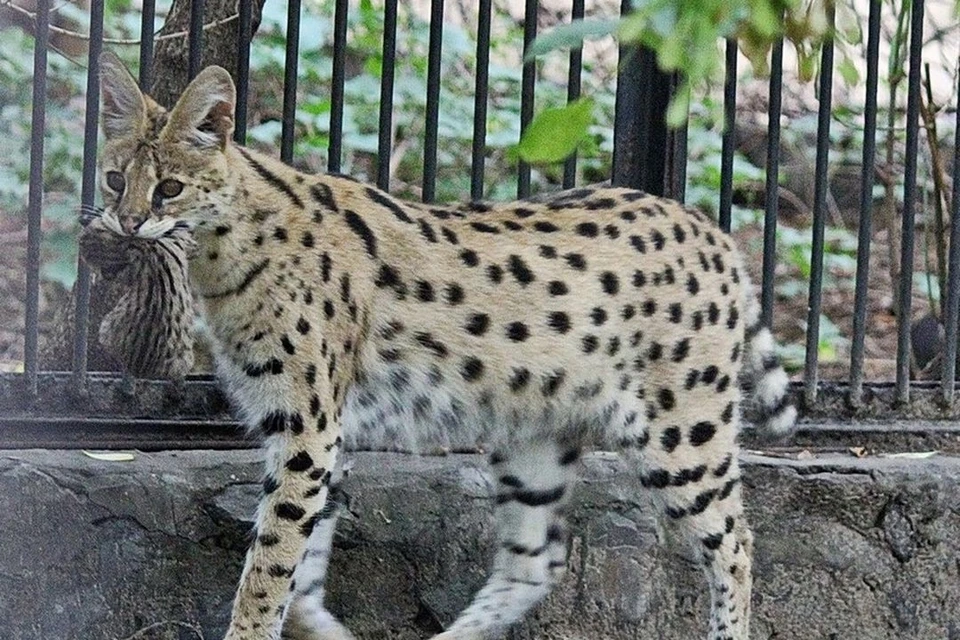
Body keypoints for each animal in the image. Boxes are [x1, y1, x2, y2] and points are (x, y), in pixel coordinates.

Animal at [88, 52, 796, 636]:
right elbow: (303, 576)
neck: (222, 250)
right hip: (532, 438)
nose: (127, 223)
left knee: (738, 543)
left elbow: (269, 566)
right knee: (537, 562)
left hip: (683, 436)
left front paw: (252, 627)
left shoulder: (308, 428)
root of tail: (705, 222)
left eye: (169, 187)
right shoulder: (318, 436)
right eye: (115, 179)